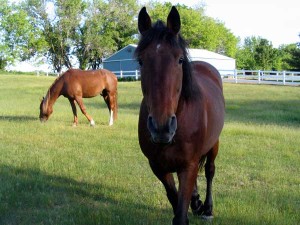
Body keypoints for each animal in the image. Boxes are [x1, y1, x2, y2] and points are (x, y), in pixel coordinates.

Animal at [136, 6, 225, 224]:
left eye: (180, 59)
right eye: (141, 61)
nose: (161, 128)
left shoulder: (189, 165)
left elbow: (180, 214)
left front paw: (199, 206)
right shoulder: (158, 166)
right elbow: (174, 199)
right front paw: (194, 202)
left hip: (214, 143)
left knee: (210, 171)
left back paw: (207, 208)